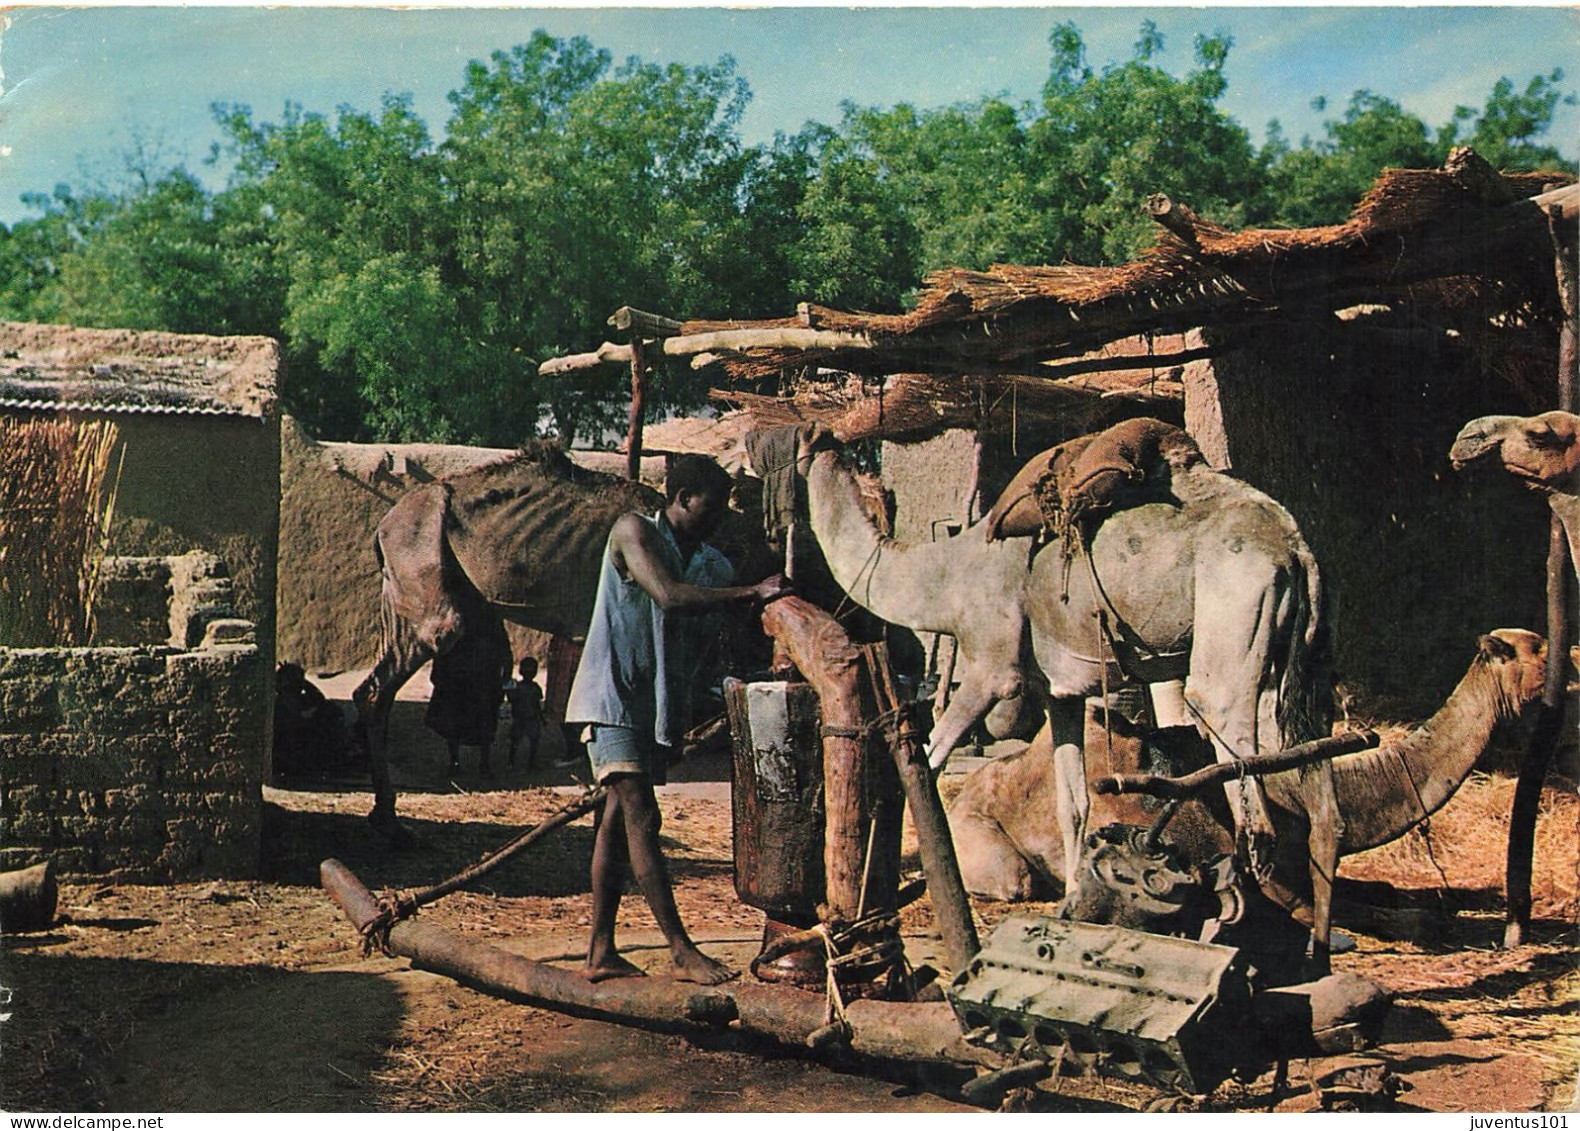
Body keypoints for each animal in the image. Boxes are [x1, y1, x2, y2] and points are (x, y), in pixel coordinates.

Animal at [790, 423, 1346, 960]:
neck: (948, 575)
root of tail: (1294, 549)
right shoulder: (1060, 693)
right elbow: (1072, 802)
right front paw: (1076, 901)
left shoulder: (991, 666)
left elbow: (927, 761)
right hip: (1302, 664)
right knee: (1322, 797)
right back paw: (1316, 946)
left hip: (1234, 614)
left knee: (1246, 792)